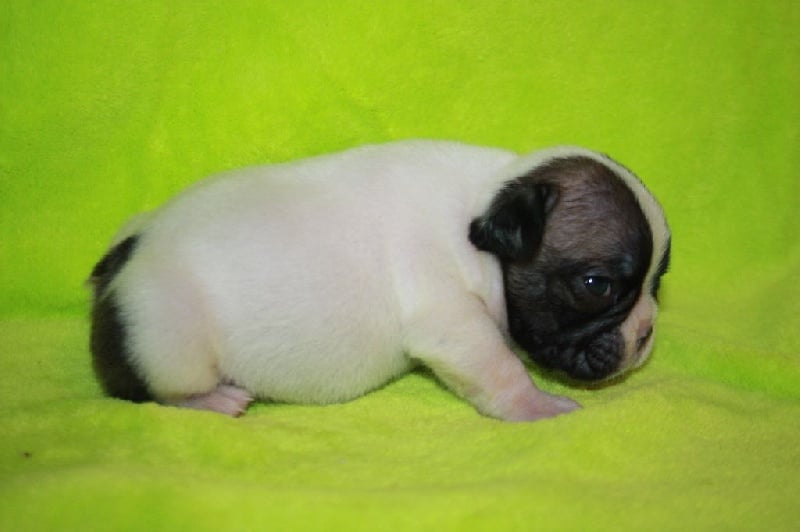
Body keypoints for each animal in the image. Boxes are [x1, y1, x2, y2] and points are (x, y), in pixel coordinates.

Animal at [89, 140, 670, 421]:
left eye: (657, 283)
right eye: (596, 285)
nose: (646, 334)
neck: (483, 207)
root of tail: (122, 257)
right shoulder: (452, 323)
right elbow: (499, 368)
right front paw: (537, 406)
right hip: (168, 339)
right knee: (153, 392)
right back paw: (211, 401)